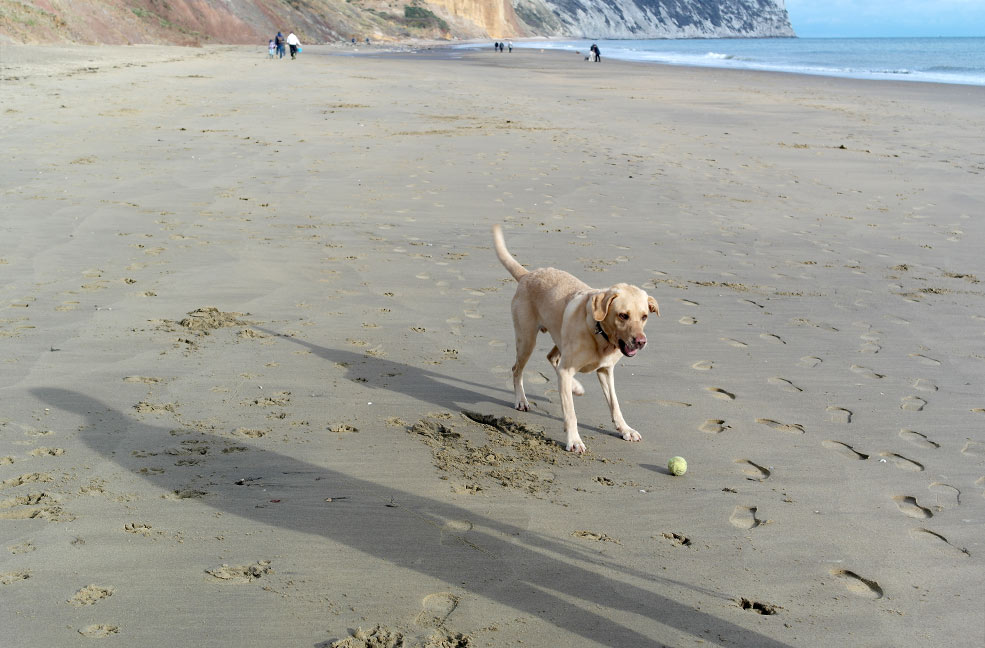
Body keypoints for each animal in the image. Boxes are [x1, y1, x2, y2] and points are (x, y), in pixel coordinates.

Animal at [492, 225, 660, 454]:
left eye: (644, 316)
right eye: (623, 315)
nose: (641, 341)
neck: (600, 336)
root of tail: (528, 274)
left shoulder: (606, 371)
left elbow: (615, 404)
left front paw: (625, 429)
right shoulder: (568, 369)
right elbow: (570, 414)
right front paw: (574, 440)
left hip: (558, 337)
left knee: (551, 357)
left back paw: (574, 387)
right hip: (527, 340)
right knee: (517, 369)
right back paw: (522, 400)